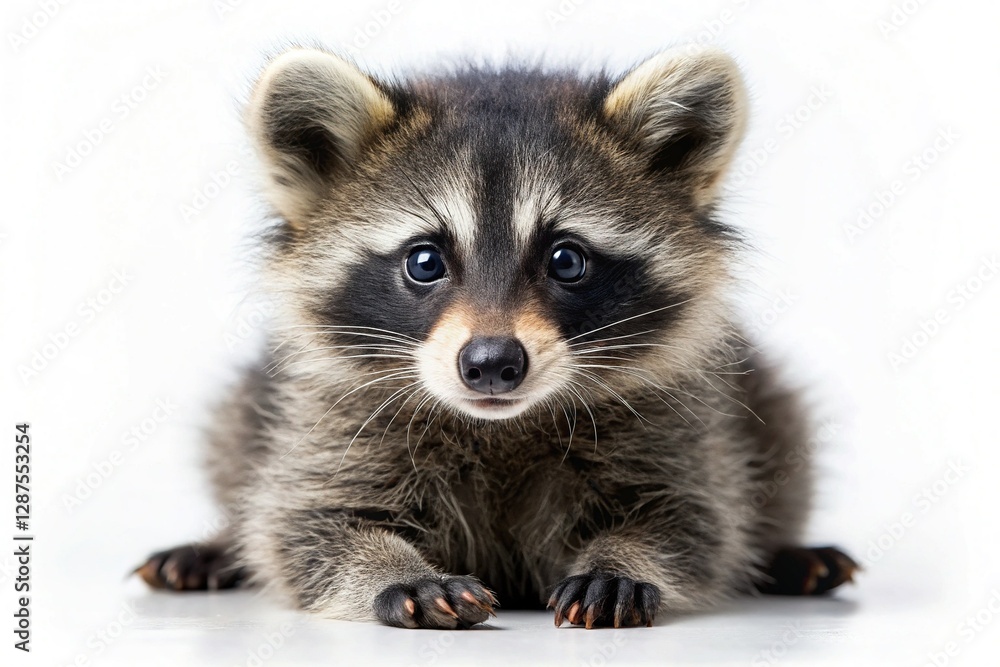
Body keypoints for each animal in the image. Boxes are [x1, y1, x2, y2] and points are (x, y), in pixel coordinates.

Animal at [136, 45, 858, 629]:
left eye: (566, 260)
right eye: (425, 261)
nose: (490, 362)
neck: (501, 426)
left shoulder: (679, 427)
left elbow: (693, 520)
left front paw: (625, 558)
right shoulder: (331, 424)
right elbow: (304, 526)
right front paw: (392, 569)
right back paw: (215, 546)